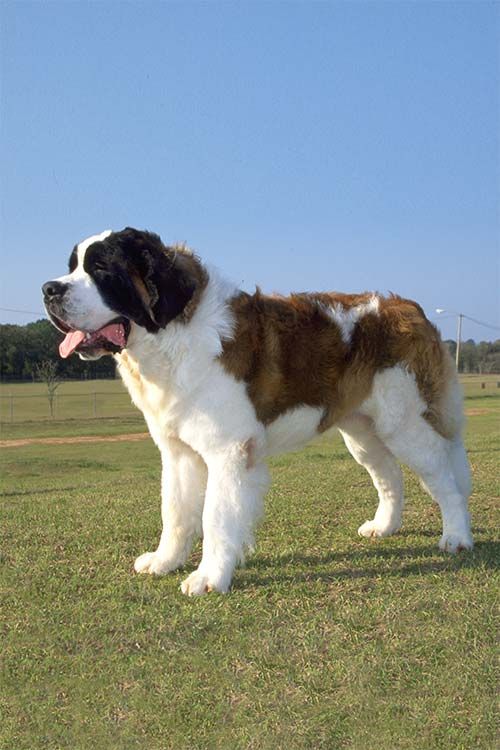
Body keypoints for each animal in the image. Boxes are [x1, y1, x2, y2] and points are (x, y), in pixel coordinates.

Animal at [42, 226, 472, 596]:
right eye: (73, 267)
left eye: (101, 269)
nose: (48, 289)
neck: (172, 337)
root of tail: (409, 307)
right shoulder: (178, 453)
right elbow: (175, 512)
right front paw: (165, 562)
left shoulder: (228, 452)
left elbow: (215, 517)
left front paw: (208, 579)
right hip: (362, 431)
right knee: (390, 477)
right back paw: (384, 527)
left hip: (405, 424)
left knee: (444, 477)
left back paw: (456, 537)